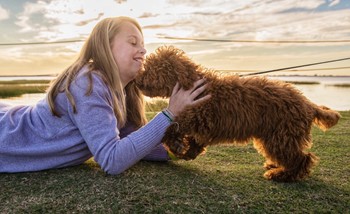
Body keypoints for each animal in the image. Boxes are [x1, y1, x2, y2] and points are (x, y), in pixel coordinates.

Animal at [134, 46, 340, 181]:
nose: (137, 79)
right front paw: (187, 152)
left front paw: (177, 147)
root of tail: (307, 103)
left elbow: (171, 130)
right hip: (275, 136)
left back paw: (282, 174)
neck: (193, 84)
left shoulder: (197, 117)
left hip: (283, 136)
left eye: (152, 69)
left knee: (302, 158)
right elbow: (193, 141)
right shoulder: (202, 125)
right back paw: (276, 166)